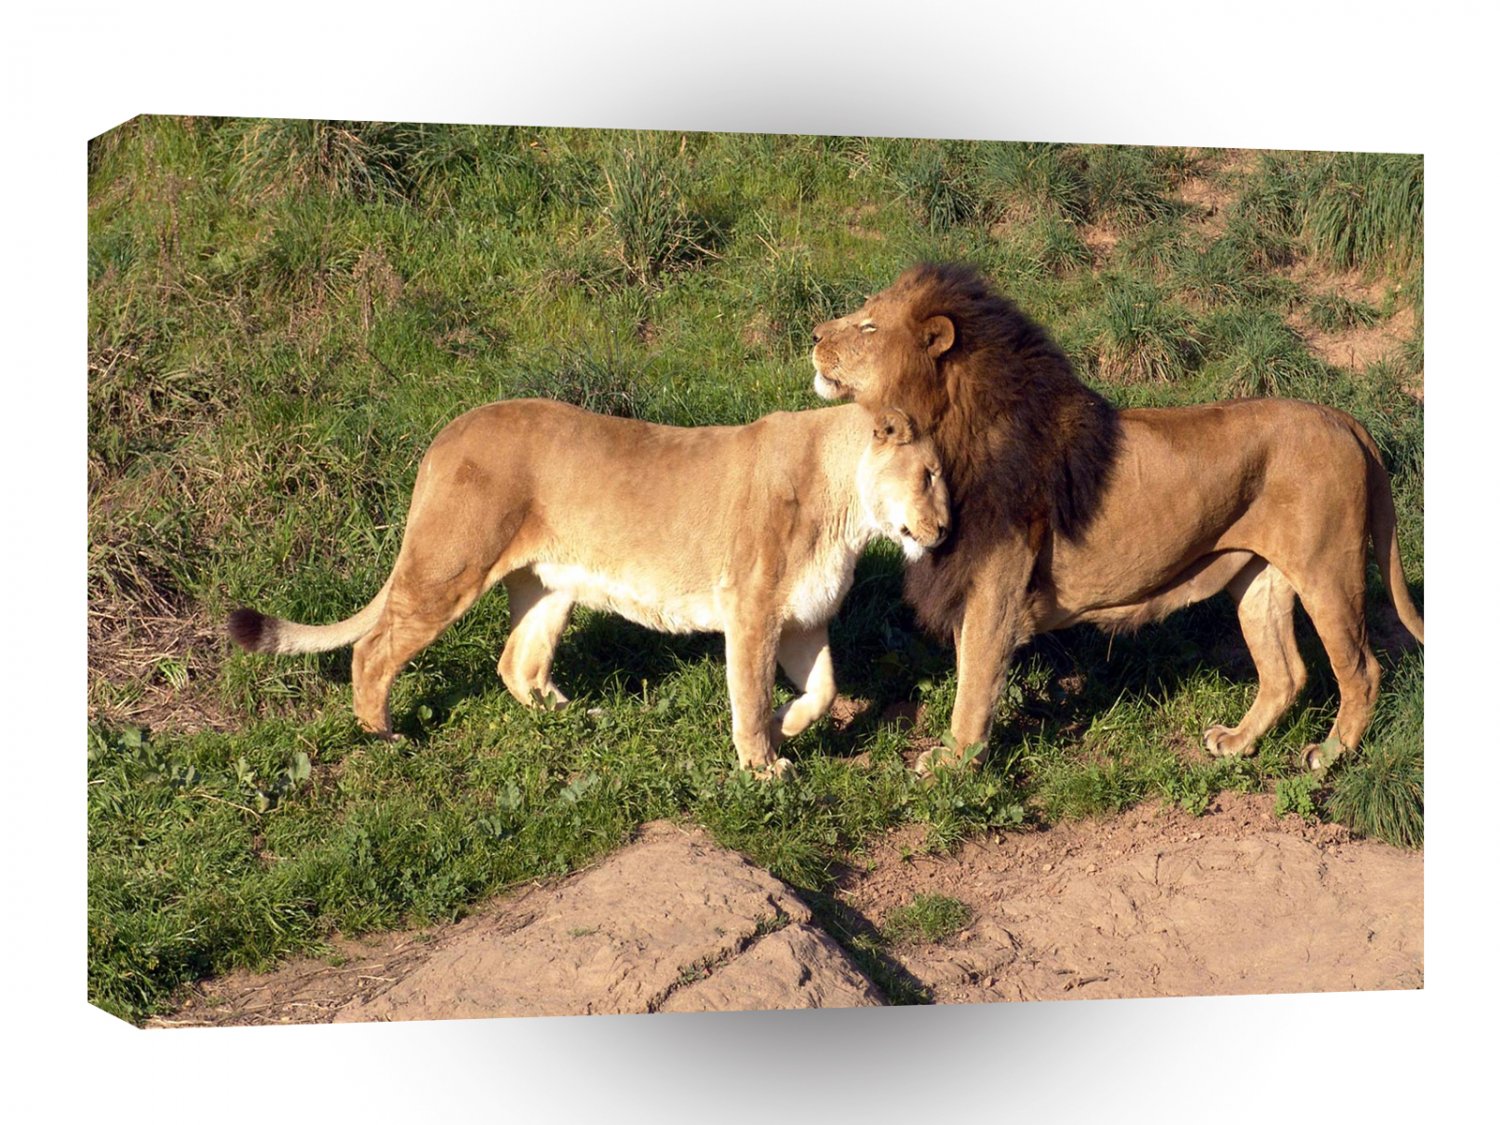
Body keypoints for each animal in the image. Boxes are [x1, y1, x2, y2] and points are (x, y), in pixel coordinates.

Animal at [228, 398, 949, 777]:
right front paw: (764, 765)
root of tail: (448, 433)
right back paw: (384, 734)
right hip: (452, 564)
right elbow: (748, 696)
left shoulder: (801, 616)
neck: (848, 510)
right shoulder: (752, 611)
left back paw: (579, 718)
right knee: (374, 648)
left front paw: (789, 727)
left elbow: (823, 689)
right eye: (930, 476)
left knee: (515, 662)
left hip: (550, 586)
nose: (944, 530)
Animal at [812, 262, 1424, 775]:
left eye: (869, 325)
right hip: (1259, 576)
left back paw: (1330, 754)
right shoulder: (969, 579)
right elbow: (969, 670)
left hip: (1329, 572)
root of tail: (1343, 419)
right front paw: (960, 756)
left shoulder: (994, 585)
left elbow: (976, 680)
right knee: (1286, 673)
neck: (945, 432)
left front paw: (953, 762)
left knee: (1362, 670)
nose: (815, 335)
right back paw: (1236, 743)